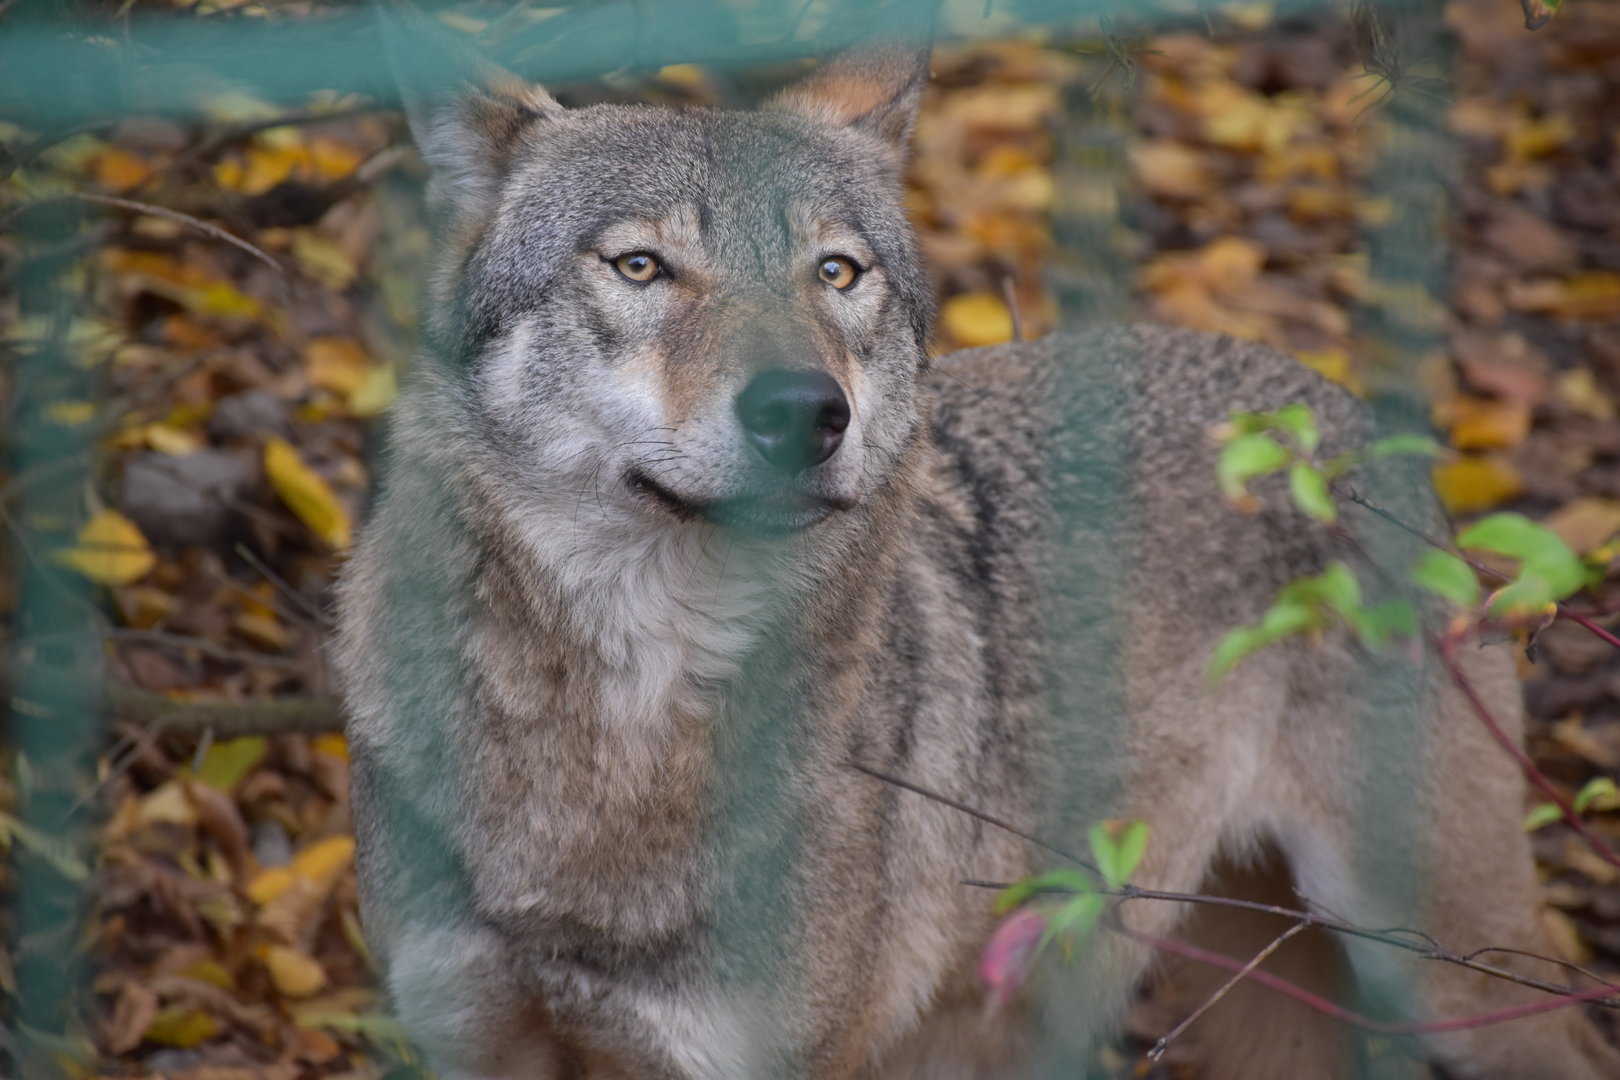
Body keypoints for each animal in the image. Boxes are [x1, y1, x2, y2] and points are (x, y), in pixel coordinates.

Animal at [332, 27, 1620, 1080]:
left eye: (836, 273)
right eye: (639, 266)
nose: (807, 411)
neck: (618, 740)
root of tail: (1333, 417)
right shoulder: (478, 1045)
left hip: (1436, 968)